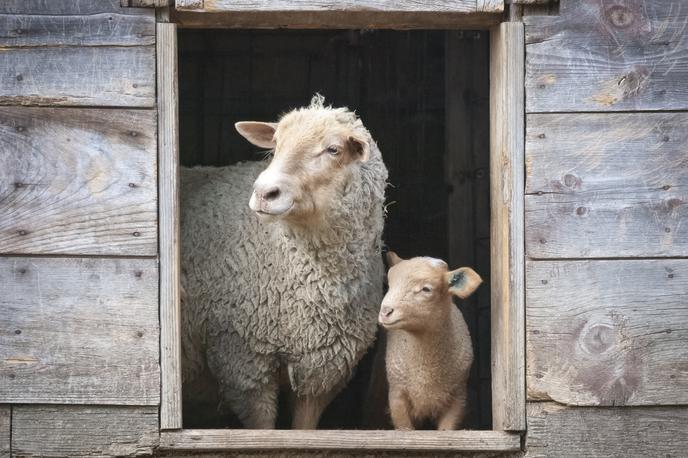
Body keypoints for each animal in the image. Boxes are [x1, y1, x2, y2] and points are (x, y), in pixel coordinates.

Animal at [378, 252, 482, 432]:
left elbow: (446, 430)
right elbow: (404, 429)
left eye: (426, 289)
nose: (385, 312)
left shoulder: (458, 397)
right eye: (389, 284)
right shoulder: (397, 395)